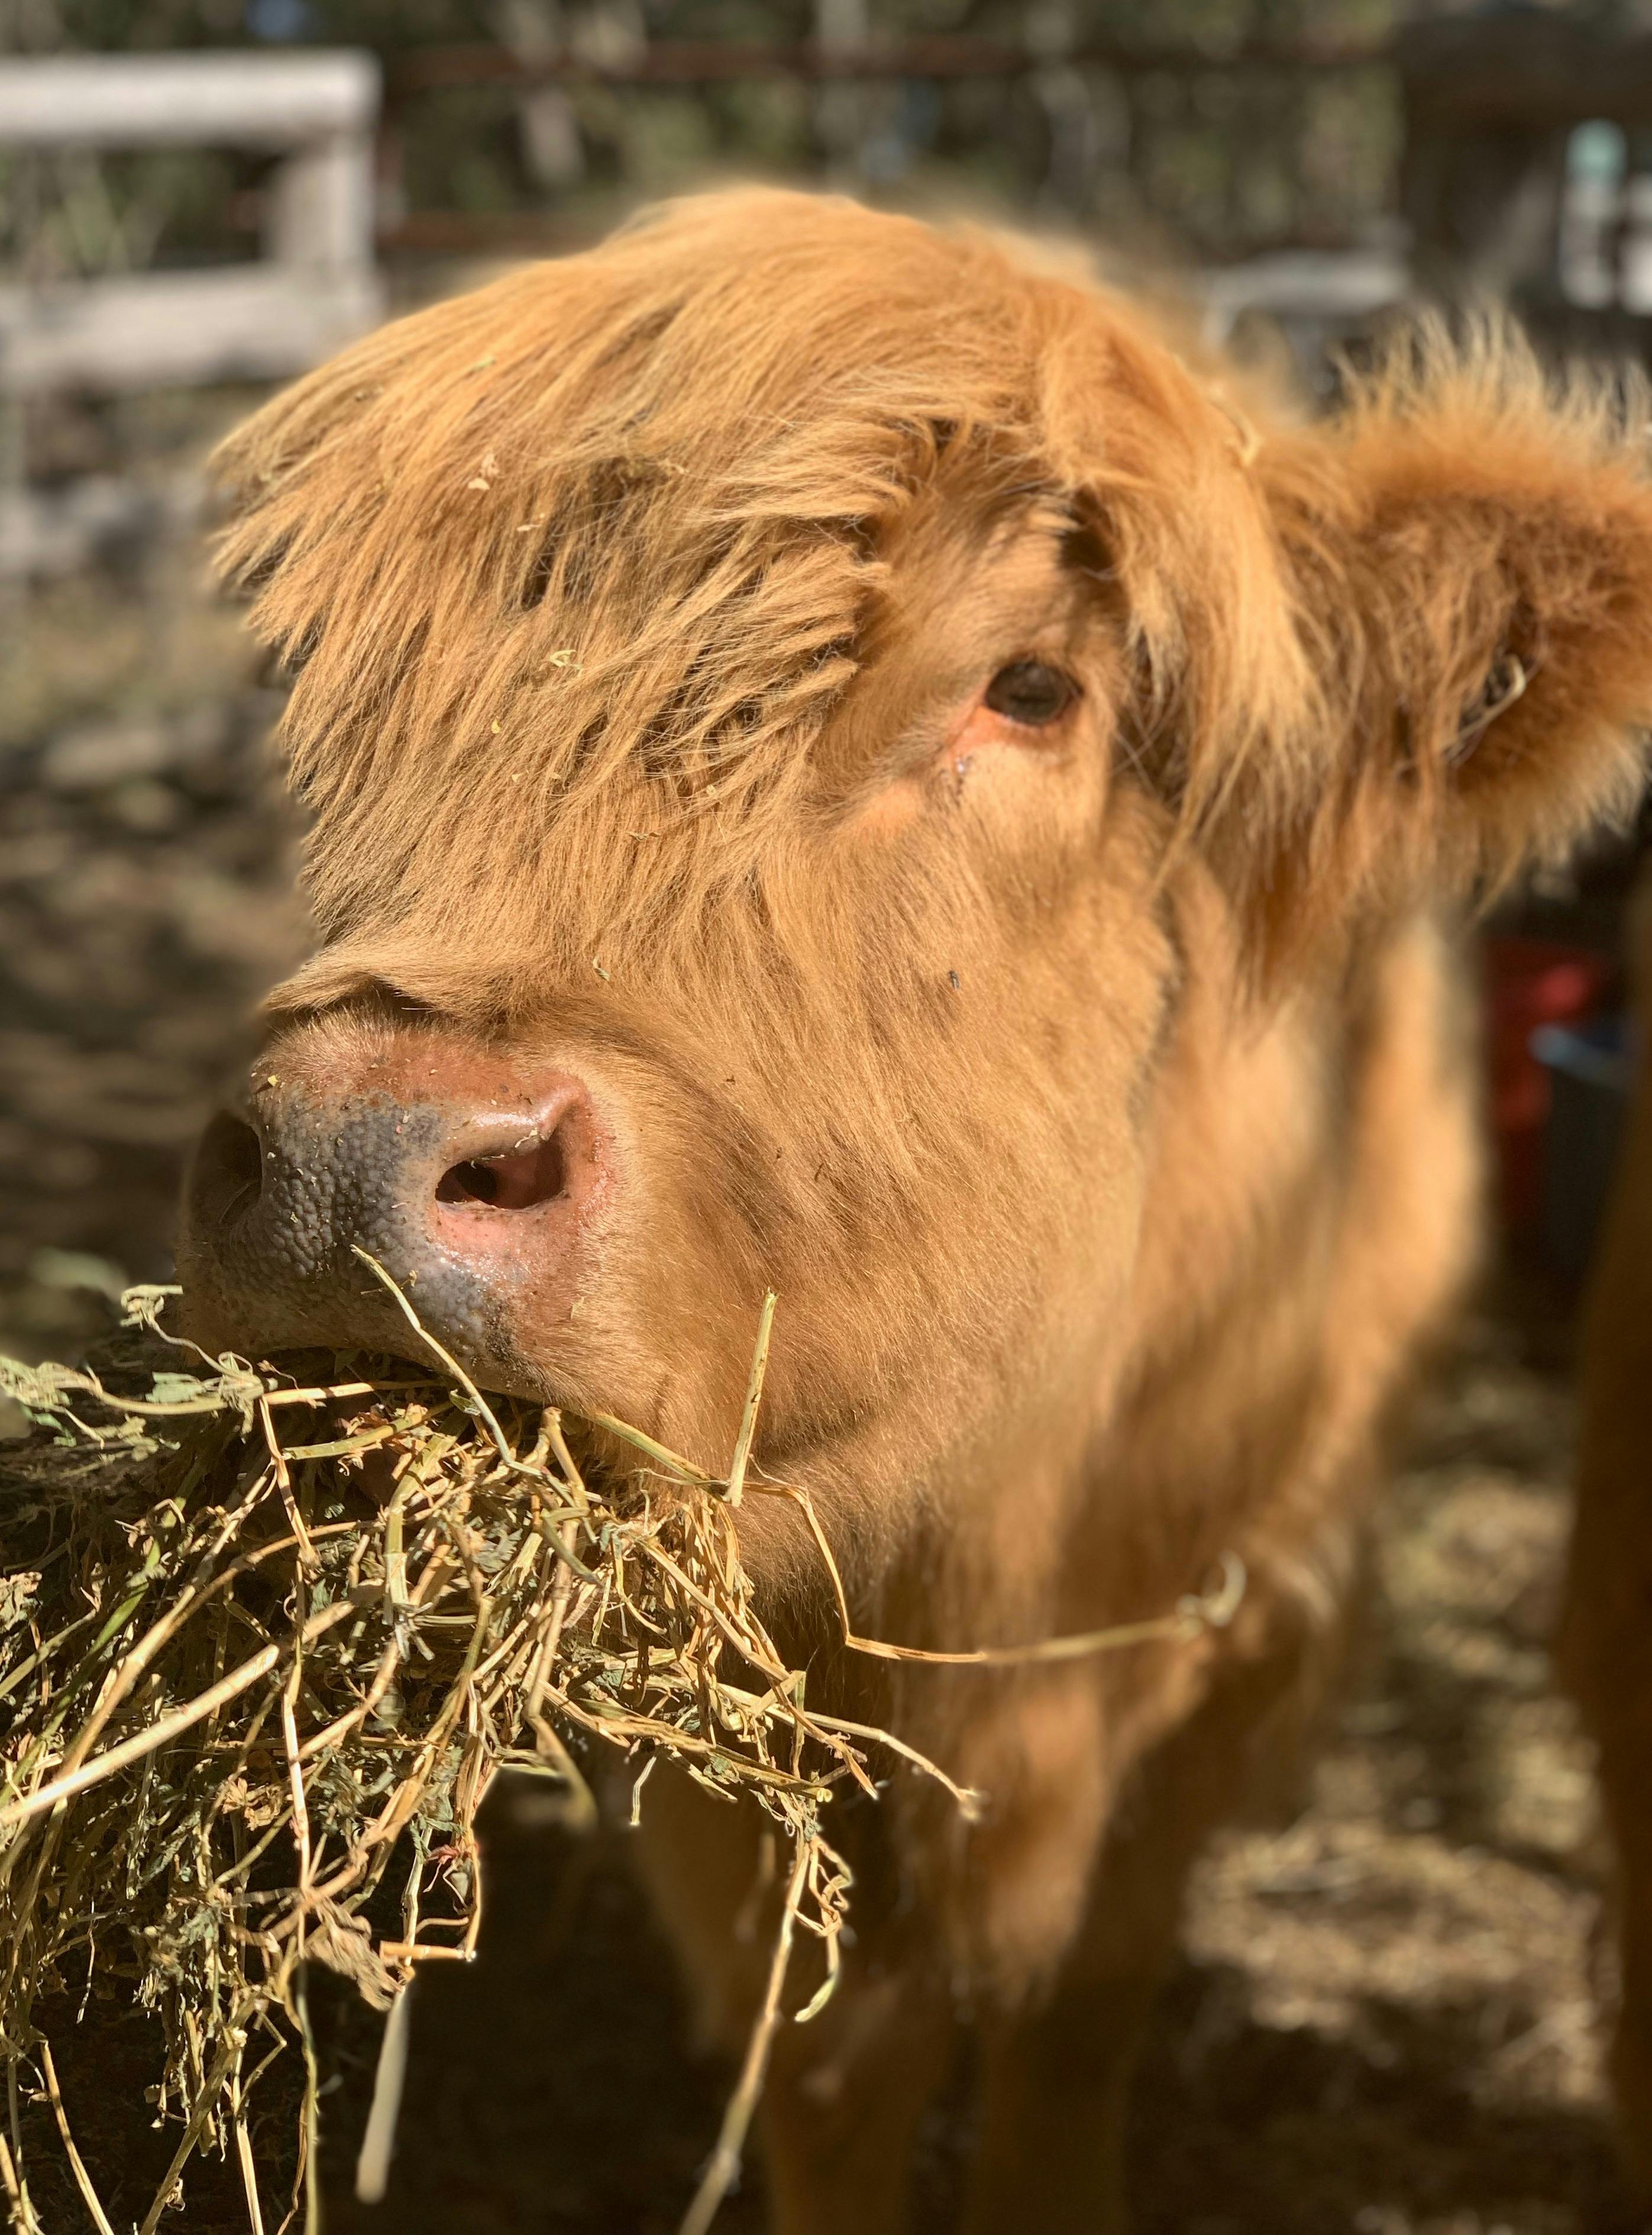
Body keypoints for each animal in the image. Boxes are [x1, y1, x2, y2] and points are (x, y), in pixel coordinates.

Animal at [178, 188, 1652, 2232]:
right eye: (388, 709)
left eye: (1027, 685)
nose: (346, 1166)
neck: (996, 1547)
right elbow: (823, 2058)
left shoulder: (1227, 1630)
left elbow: (1073, 2011)